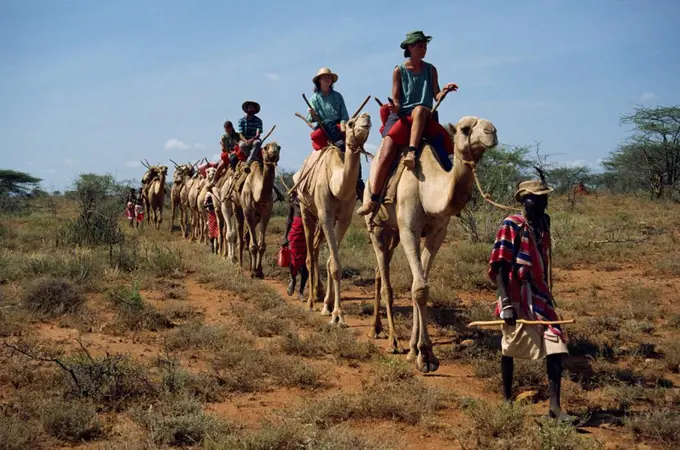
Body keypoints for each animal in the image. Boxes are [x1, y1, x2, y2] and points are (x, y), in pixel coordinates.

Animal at [290, 112, 370, 324]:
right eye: (350, 123)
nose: (366, 117)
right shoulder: (325, 213)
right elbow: (334, 264)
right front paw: (337, 315)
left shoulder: (344, 217)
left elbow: (331, 262)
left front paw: (329, 305)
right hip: (305, 209)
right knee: (309, 254)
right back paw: (311, 301)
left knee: (315, 247)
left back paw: (318, 293)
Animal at [362, 116, 500, 372]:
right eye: (465, 129)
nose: (491, 132)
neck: (427, 189)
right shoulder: (409, 230)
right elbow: (419, 288)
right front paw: (425, 355)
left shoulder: (437, 233)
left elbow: (421, 284)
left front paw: (415, 349)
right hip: (377, 227)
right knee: (385, 281)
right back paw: (393, 341)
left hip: (393, 233)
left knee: (379, 272)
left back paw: (377, 329)